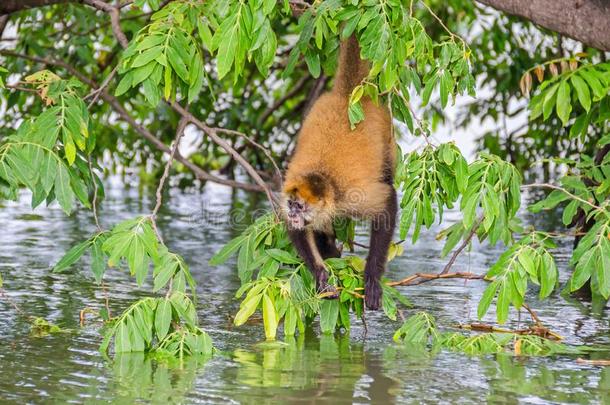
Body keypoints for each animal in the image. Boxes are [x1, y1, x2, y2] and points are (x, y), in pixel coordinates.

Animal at [280, 35, 394, 312]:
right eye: (291, 205)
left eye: (300, 206)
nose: (293, 213)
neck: (324, 177)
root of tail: (346, 97)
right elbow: (297, 229)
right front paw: (321, 273)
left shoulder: (351, 195)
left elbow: (386, 203)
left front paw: (372, 277)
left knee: (388, 176)